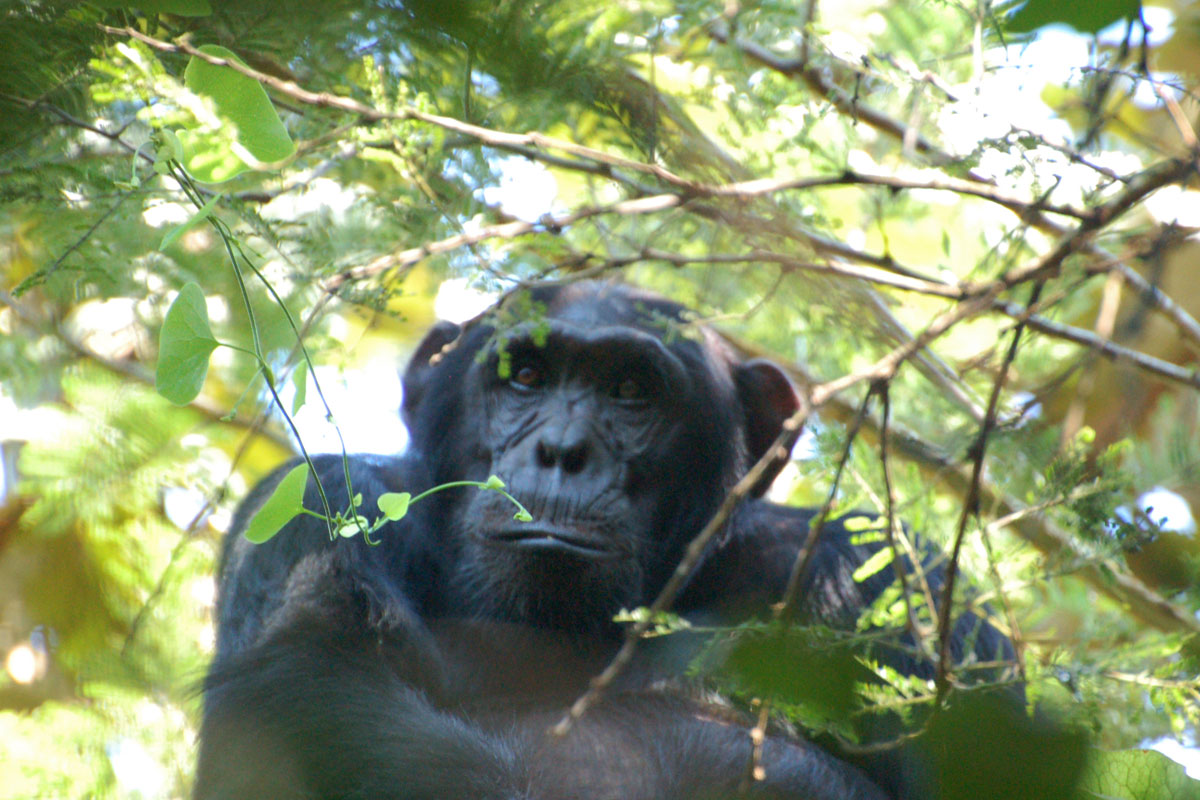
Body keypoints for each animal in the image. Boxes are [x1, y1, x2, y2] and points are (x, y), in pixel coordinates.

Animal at [194, 281, 1012, 800]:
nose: (563, 449)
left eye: (630, 391)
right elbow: (314, 683)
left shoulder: (889, 579)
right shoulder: (316, 503)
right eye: (525, 374)